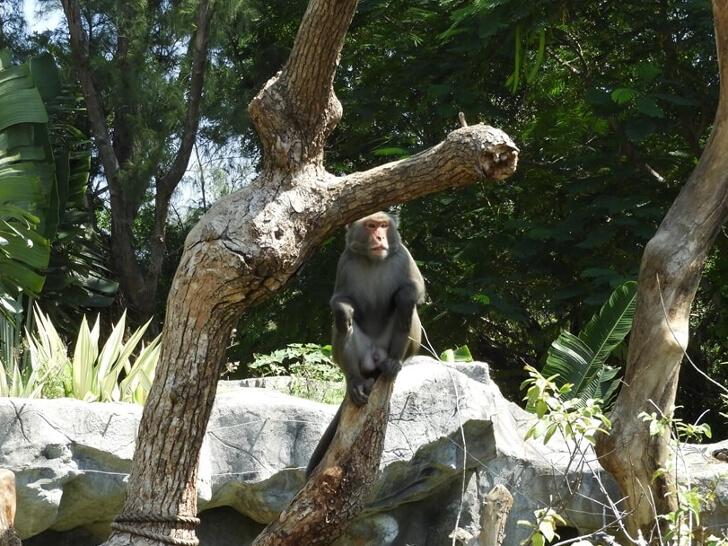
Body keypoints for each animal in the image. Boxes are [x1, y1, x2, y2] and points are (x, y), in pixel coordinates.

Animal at [306, 210, 426, 474]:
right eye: (371, 226)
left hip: (400, 346)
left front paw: (407, 296)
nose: (380, 237)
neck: (374, 260)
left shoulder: (403, 257)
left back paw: (393, 363)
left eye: (383, 225)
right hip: (361, 355)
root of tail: (375, 359)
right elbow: (339, 300)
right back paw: (355, 381)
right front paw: (343, 309)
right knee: (342, 325)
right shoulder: (345, 262)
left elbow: (416, 291)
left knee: (406, 311)